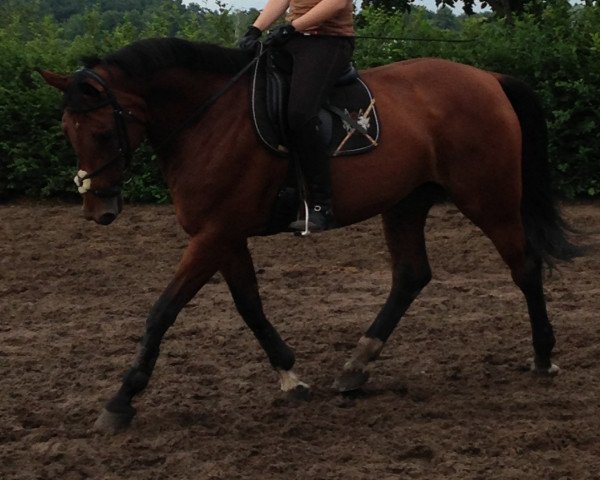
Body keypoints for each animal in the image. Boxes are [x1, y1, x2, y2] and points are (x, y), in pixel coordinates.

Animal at [39, 38, 580, 436]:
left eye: (103, 133)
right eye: (66, 130)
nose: (98, 210)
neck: (209, 120)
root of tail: (488, 78)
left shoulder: (213, 235)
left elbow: (162, 311)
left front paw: (120, 400)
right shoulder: (225, 236)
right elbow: (249, 305)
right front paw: (290, 376)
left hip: (488, 198)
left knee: (524, 266)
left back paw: (543, 356)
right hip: (406, 203)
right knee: (411, 276)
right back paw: (357, 365)